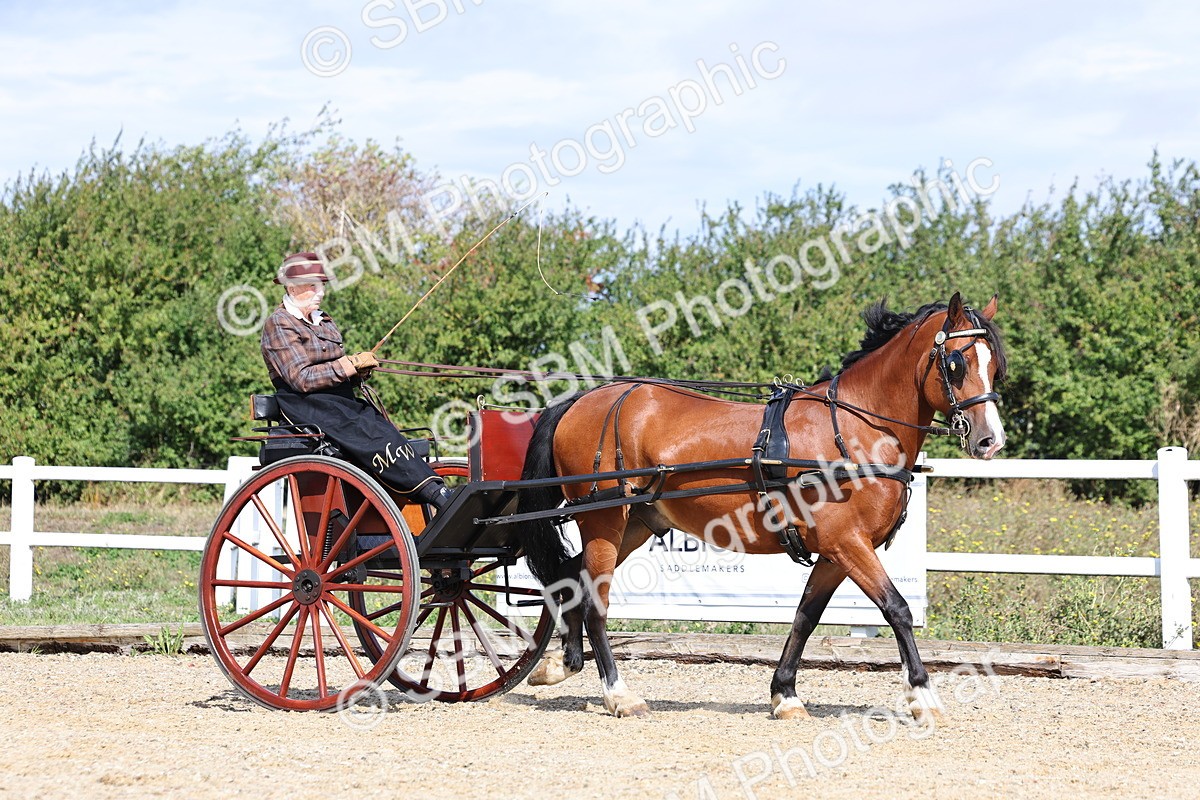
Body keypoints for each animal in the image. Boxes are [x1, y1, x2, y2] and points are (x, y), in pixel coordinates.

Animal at [515, 292, 1006, 720]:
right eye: (956, 363)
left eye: (995, 367)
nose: (990, 440)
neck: (854, 430)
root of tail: (583, 400)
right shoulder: (848, 543)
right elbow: (897, 609)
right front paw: (924, 696)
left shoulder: (835, 552)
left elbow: (806, 617)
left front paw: (785, 694)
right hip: (603, 517)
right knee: (595, 599)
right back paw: (619, 694)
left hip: (635, 522)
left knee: (573, 577)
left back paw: (562, 663)